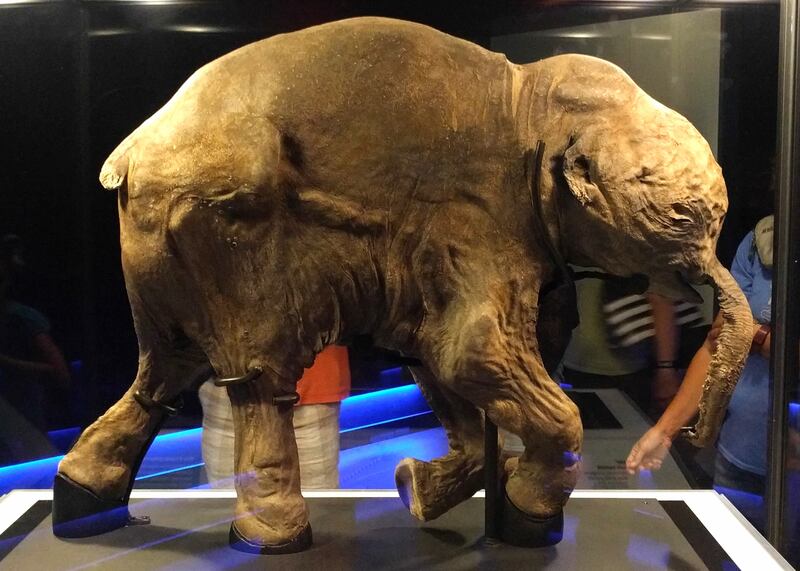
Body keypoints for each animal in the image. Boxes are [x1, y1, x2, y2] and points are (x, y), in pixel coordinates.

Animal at [53, 16, 752, 556]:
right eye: (682, 219)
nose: (694, 437)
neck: (536, 98)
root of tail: (130, 153)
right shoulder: (478, 221)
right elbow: (468, 354)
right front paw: (525, 513)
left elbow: (436, 360)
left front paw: (423, 489)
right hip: (219, 221)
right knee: (257, 373)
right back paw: (270, 538)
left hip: (159, 237)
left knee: (165, 368)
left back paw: (81, 499)